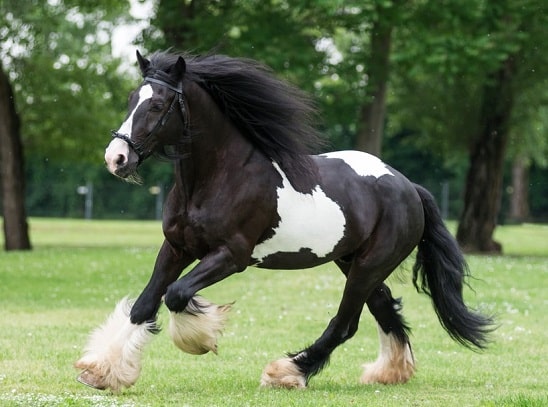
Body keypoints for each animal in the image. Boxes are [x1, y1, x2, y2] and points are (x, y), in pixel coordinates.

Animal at [76, 51, 492, 392]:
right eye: (132, 100)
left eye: (158, 104)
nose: (116, 158)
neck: (220, 177)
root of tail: (409, 186)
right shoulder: (176, 248)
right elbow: (145, 304)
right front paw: (102, 371)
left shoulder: (231, 256)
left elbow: (176, 294)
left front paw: (201, 337)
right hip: (353, 262)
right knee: (384, 307)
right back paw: (389, 372)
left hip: (370, 265)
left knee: (346, 323)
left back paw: (288, 371)